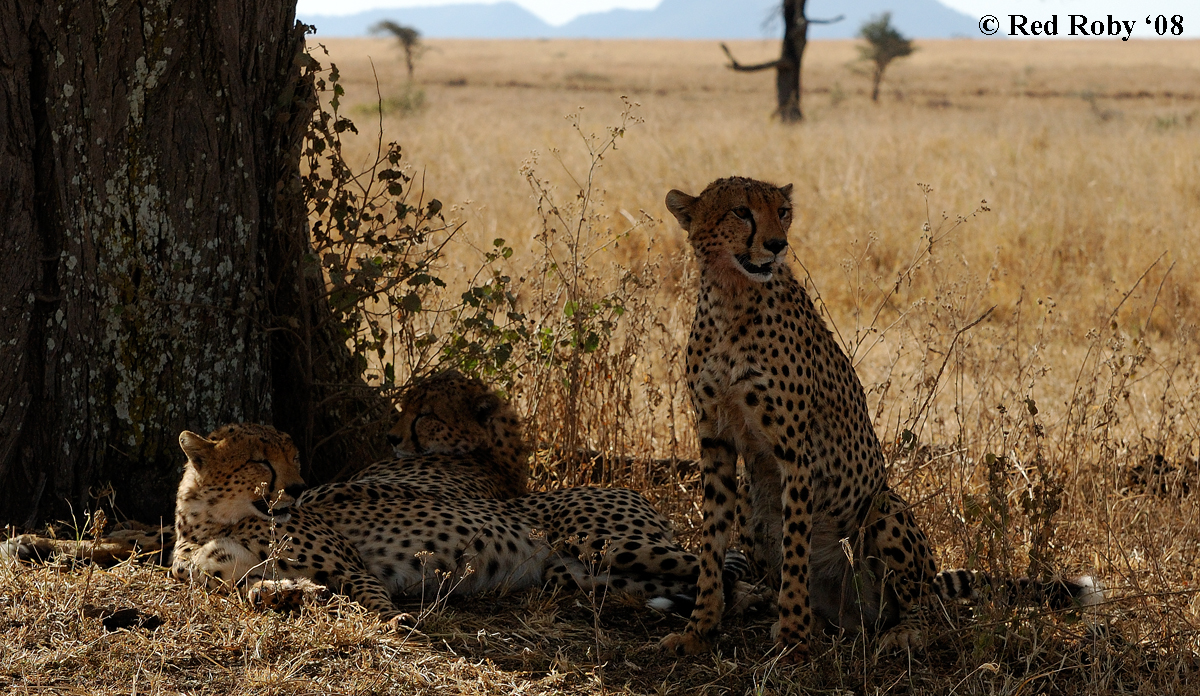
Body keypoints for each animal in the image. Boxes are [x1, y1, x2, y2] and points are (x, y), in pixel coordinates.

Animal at [657, 175, 1099, 657]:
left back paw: (898, 631)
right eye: (741, 211)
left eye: (782, 211)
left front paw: (792, 635)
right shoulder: (715, 441)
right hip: (753, 515)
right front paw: (699, 629)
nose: (777, 244)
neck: (731, 296)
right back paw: (802, 617)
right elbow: (711, 544)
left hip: (885, 509)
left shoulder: (795, 450)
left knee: (918, 602)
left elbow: (796, 548)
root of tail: (855, 614)